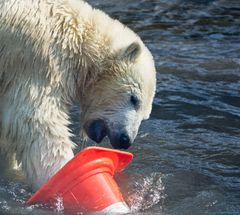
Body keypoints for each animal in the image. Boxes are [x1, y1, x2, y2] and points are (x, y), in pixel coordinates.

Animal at [0, 0, 157, 190]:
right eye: (134, 99)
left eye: (145, 116)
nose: (125, 140)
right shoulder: (36, 62)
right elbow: (36, 122)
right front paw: (59, 173)